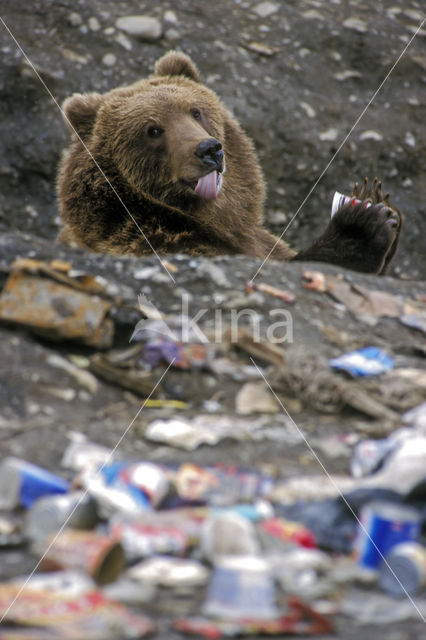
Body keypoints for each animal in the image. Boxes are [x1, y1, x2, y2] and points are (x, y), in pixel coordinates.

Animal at [57, 50, 402, 276]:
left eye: (195, 111)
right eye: (152, 130)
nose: (209, 149)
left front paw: (381, 204)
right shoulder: (159, 242)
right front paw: (360, 224)